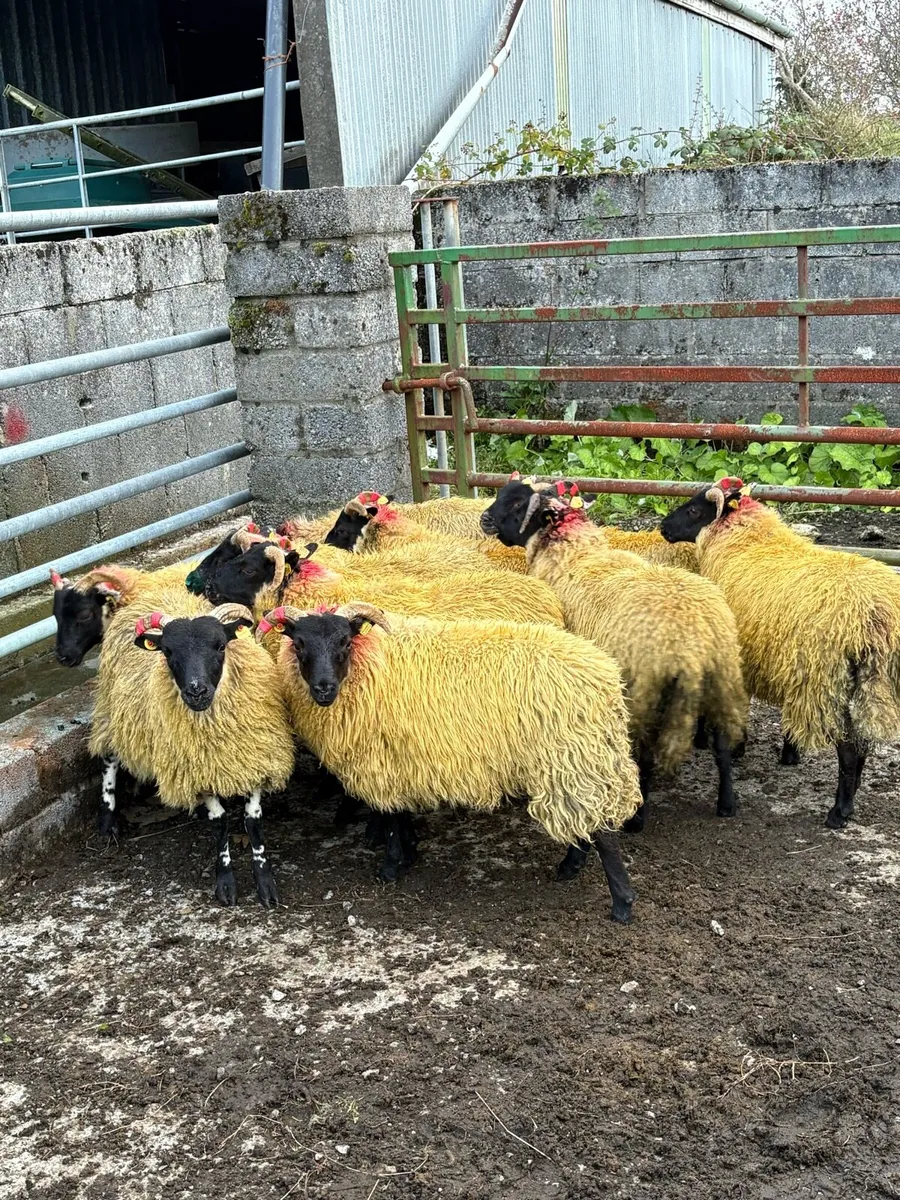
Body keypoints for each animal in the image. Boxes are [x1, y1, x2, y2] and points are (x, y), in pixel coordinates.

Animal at [91, 597, 295, 906]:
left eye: (220, 645)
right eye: (167, 651)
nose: (196, 691)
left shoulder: (256, 759)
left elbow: (253, 822)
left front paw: (265, 884)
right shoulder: (197, 771)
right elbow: (220, 823)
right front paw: (225, 883)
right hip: (111, 712)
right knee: (109, 759)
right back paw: (107, 822)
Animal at [257, 600, 642, 922]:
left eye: (345, 642)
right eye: (299, 644)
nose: (323, 688)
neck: (369, 666)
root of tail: (605, 681)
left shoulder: (384, 757)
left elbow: (390, 817)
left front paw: (390, 867)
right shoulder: (403, 758)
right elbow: (402, 815)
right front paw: (410, 851)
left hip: (574, 758)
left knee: (603, 834)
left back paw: (622, 905)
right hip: (575, 763)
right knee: (586, 824)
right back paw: (571, 868)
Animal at [482, 479, 748, 828]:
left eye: (517, 503)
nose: (484, 519)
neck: (575, 555)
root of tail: (694, 641)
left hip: (647, 686)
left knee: (645, 756)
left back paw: (636, 819)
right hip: (721, 676)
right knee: (721, 745)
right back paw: (727, 803)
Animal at [661, 476, 900, 828]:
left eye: (693, 510)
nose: (663, 527)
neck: (746, 543)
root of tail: (876, 615)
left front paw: (734, 745)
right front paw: (788, 751)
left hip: (829, 678)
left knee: (848, 747)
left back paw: (840, 811)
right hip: (873, 680)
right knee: (862, 740)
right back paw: (854, 787)